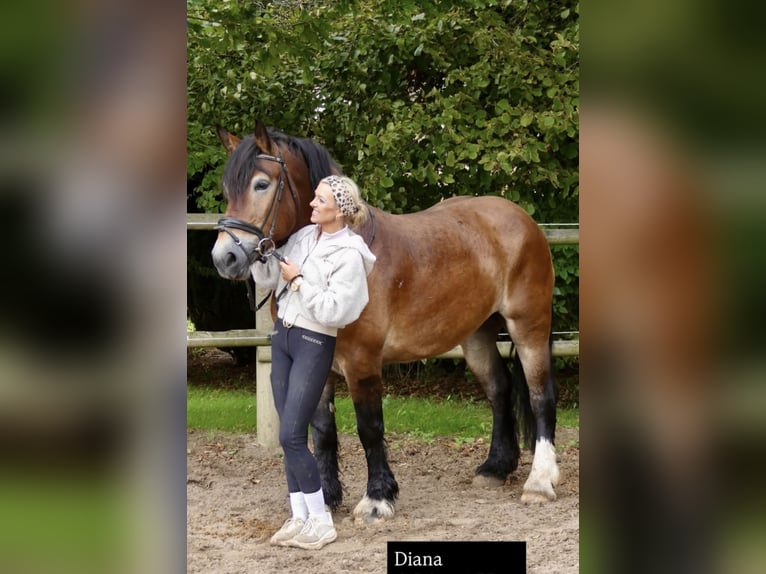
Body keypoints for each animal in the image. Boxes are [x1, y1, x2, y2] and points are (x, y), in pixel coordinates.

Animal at [211, 120, 560, 521]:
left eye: (261, 184)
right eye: (227, 189)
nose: (225, 258)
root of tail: (523, 220)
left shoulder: (362, 361)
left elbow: (370, 427)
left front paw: (378, 497)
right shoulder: (318, 361)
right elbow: (323, 430)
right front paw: (327, 498)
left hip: (528, 325)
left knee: (539, 395)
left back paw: (540, 482)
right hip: (476, 334)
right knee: (500, 390)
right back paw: (495, 468)